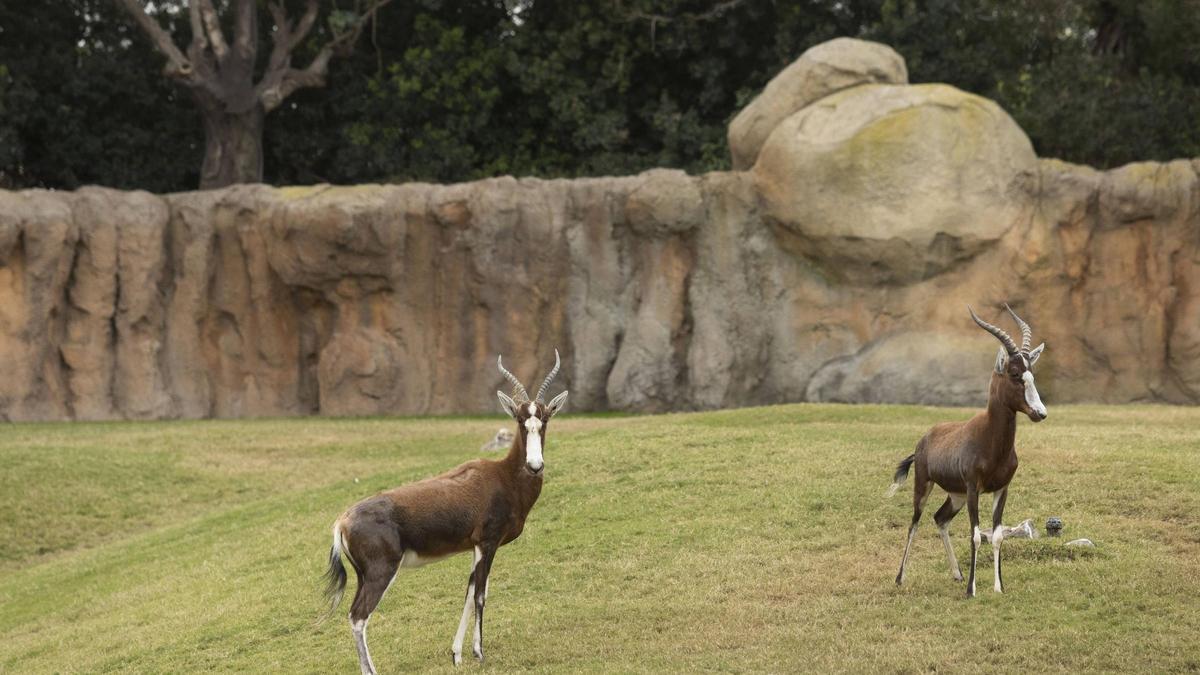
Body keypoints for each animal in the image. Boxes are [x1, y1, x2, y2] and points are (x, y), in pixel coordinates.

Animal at [324, 348, 566, 667]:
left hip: (363, 576)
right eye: (520, 421)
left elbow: (469, 591)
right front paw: (479, 652)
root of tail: (343, 521)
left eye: (544, 420)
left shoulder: (475, 547)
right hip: (381, 573)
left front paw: (457, 654)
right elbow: (480, 595)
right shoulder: (487, 544)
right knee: (358, 617)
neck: (502, 476)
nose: (535, 466)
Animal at [888, 303, 1046, 593]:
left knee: (940, 519)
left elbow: (997, 536)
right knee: (914, 523)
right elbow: (975, 536)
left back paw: (957, 574)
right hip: (925, 486)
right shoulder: (974, 489)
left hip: (956, 495)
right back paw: (900, 578)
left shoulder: (1001, 490)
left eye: (1032, 374)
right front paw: (972, 590)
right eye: (1014, 374)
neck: (989, 439)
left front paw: (998, 588)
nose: (1040, 413)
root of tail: (926, 438)